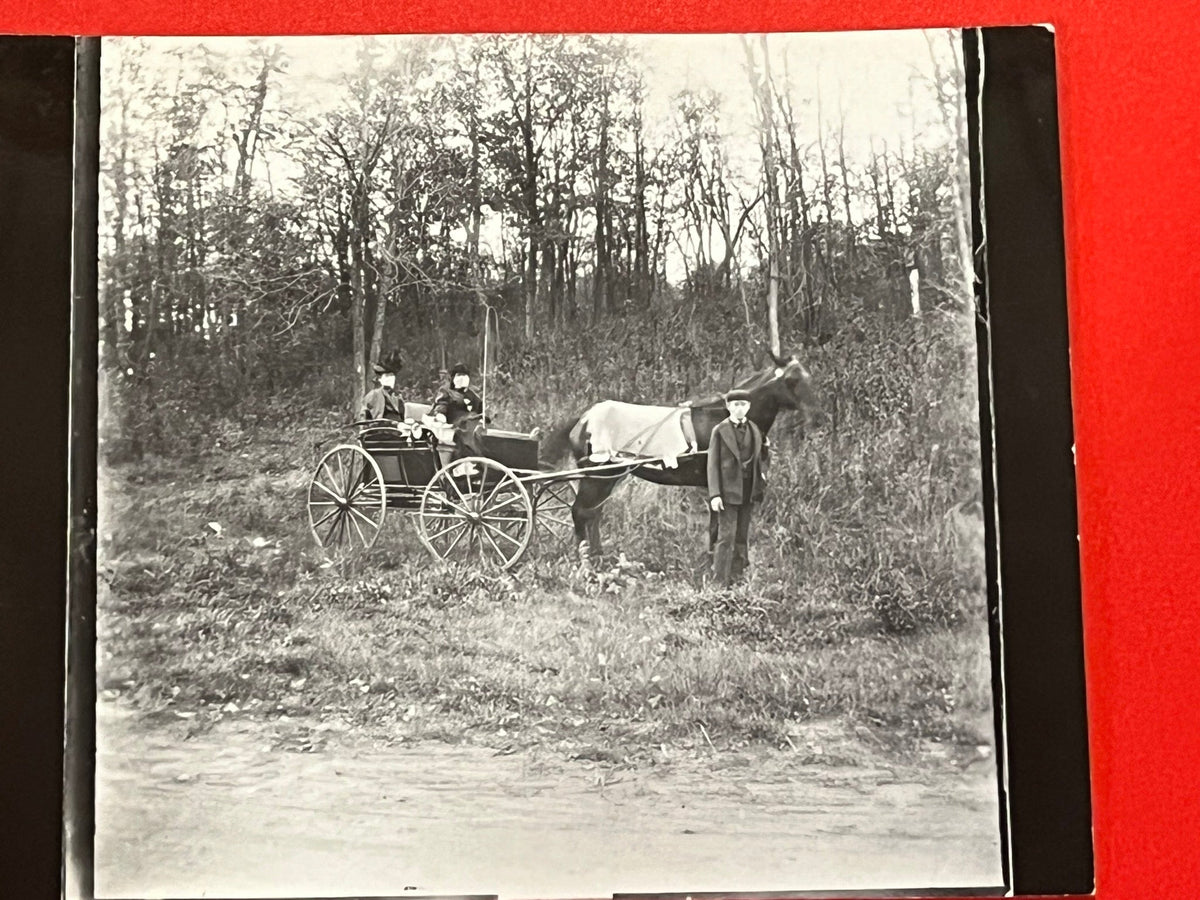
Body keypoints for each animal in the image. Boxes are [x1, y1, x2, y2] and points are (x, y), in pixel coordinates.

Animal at [547, 352, 820, 564]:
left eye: (809, 376)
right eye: (792, 379)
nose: (815, 416)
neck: (725, 417)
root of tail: (584, 418)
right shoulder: (715, 485)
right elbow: (716, 528)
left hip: (608, 477)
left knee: (593, 513)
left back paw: (599, 557)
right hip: (597, 476)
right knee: (580, 512)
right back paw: (586, 562)